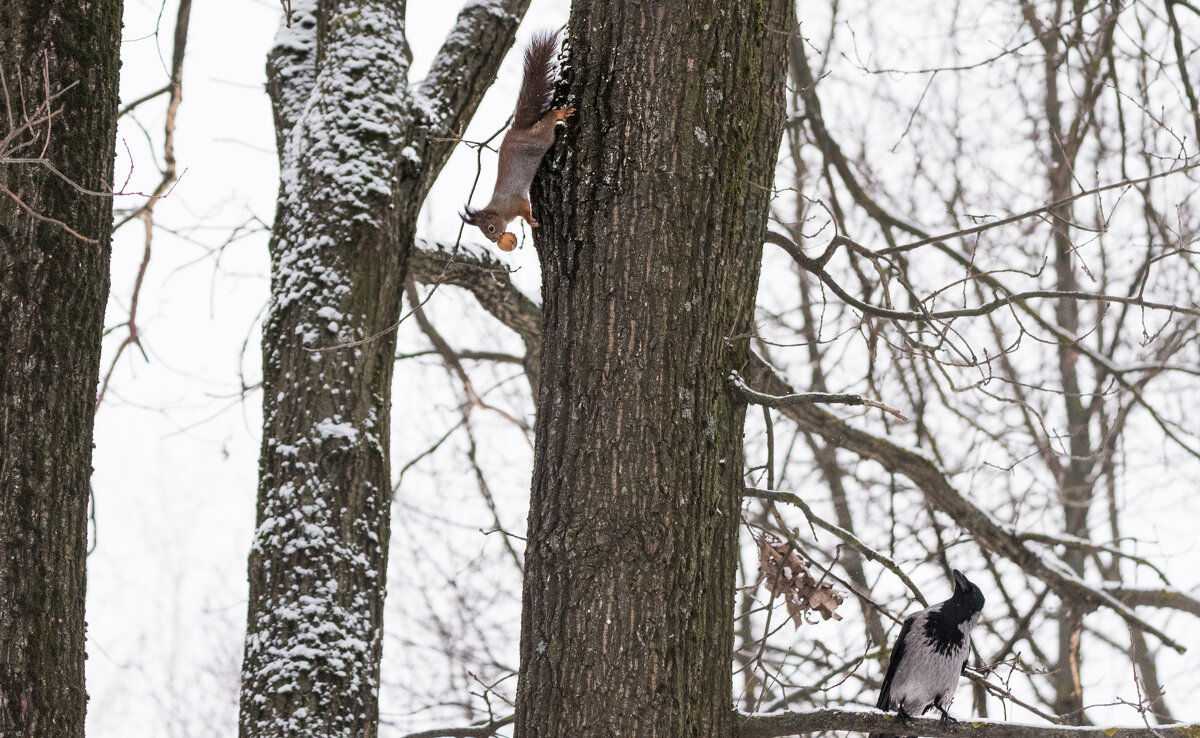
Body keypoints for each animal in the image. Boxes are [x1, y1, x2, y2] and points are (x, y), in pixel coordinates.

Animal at [458, 33, 571, 250]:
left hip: (540, 139)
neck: (500, 210)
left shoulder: (516, 202)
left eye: (490, 228)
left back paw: (559, 114)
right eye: (486, 234)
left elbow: (525, 209)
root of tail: (517, 129)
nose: (494, 240)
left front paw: (531, 221)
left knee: (549, 122)